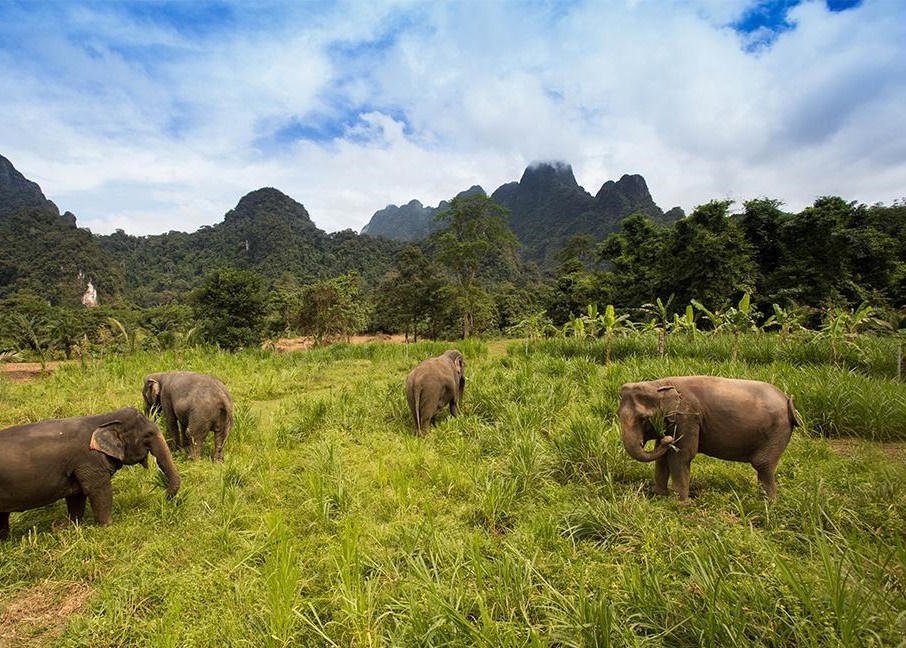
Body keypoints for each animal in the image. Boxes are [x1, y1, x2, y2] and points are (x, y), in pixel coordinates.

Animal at [0, 407, 180, 540]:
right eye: (147, 435)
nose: (164, 496)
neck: (103, 418)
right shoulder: (89, 461)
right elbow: (99, 491)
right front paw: (107, 527)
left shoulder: (76, 466)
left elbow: (76, 496)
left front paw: (69, 526)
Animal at [617, 376, 801, 503]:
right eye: (618, 415)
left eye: (643, 419)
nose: (666, 439)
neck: (659, 384)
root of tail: (788, 400)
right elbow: (662, 458)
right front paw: (659, 496)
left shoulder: (688, 418)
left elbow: (681, 456)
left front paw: (681, 504)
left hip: (777, 432)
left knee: (763, 465)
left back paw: (767, 505)